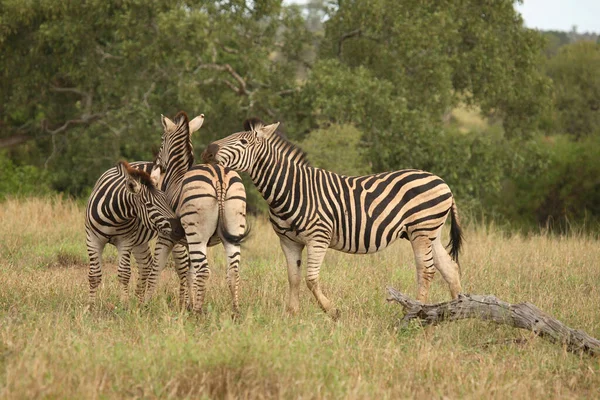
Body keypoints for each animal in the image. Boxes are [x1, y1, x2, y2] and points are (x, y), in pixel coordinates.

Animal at [85, 159, 185, 304]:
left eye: (167, 201)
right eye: (149, 205)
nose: (180, 229)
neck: (114, 216)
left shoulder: (126, 241)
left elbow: (124, 274)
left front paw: (124, 304)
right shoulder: (92, 239)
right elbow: (94, 275)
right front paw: (90, 305)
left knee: (183, 268)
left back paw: (184, 303)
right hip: (140, 241)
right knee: (146, 265)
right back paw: (139, 301)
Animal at [144, 112, 247, 316]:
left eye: (162, 140)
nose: (156, 164)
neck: (176, 175)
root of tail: (219, 176)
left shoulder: (167, 236)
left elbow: (159, 268)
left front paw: (145, 304)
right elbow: (189, 272)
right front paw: (188, 305)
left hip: (196, 234)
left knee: (204, 271)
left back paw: (199, 312)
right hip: (232, 229)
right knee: (233, 271)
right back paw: (235, 311)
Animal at [202, 118, 464, 318]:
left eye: (243, 142)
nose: (207, 151)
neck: (292, 189)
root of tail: (442, 182)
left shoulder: (318, 237)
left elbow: (310, 279)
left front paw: (332, 311)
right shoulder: (288, 241)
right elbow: (293, 277)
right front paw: (291, 314)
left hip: (421, 230)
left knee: (426, 270)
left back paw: (417, 312)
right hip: (429, 233)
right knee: (449, 268)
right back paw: (456, 312)